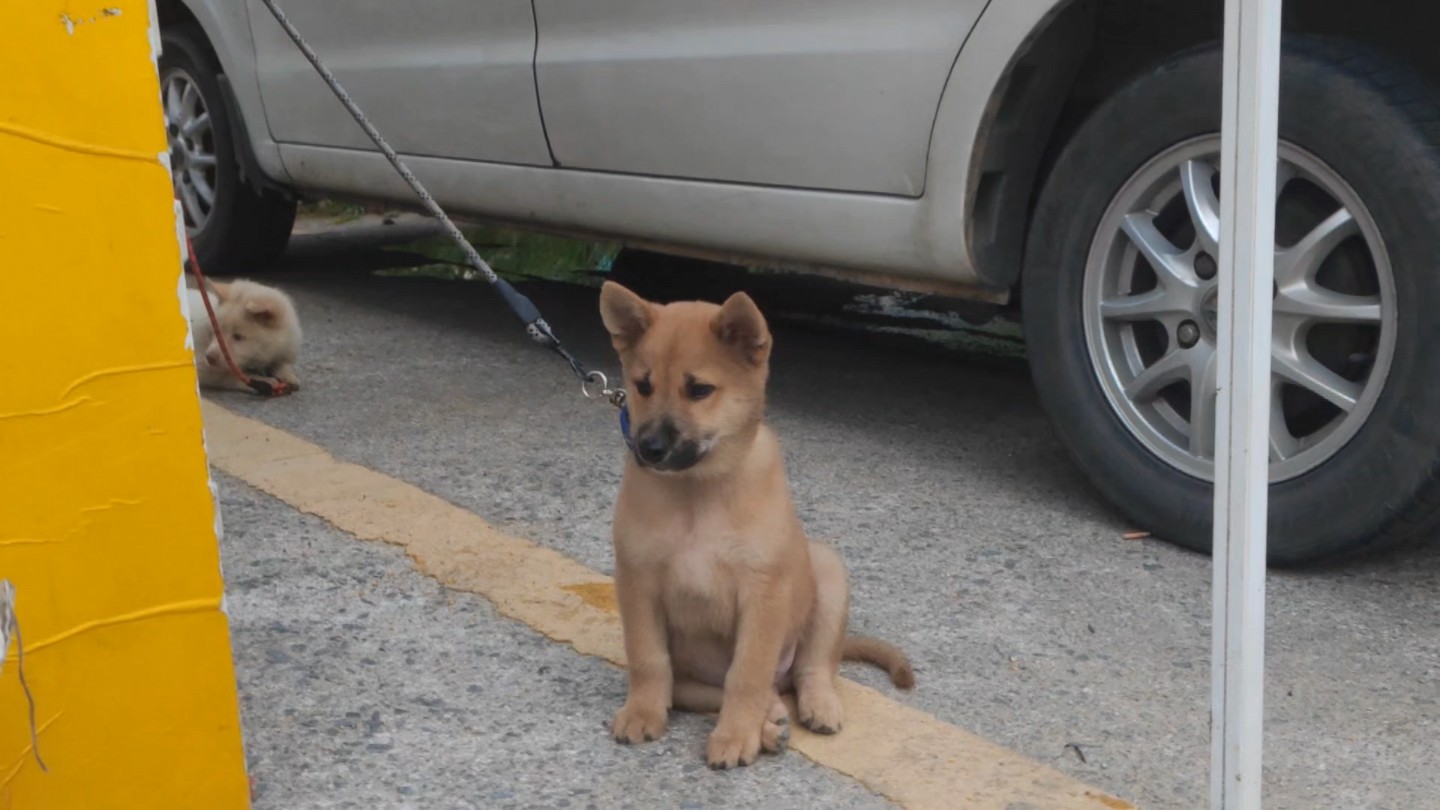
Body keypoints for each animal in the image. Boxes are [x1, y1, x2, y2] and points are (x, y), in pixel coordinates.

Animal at [596, 281, 910, 766]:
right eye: (643, 385)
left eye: (699, 389)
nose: (648, 448)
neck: (698, 493)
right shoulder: (637, 582)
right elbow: (648, 659)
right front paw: (643, 712)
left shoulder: (762, 594)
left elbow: (746, 675)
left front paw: (735, 736)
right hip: (693, 674)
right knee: (718, 689)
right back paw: (771, 720)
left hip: (827, 574)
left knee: (812, 667)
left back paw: (815, 705)